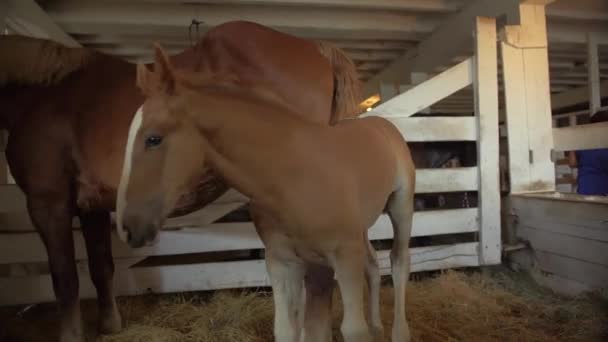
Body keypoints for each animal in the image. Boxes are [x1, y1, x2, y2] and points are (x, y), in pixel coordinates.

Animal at [0, 21, 360, 342]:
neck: (45, 94)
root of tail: (316, 48)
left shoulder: (48, 203)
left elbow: (65, 279)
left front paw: (71, 336)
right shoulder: (92, 207)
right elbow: (101, 267)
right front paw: (109, 327)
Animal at [117, 45, 416, 342]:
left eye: (153, 139)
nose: (127, 228)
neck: (292, 177)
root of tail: (382, 123)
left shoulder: (344, 256)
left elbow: (353, 329)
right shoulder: (283, 263)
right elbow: (285, 330)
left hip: (400, 206)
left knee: (399, 261)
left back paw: (399, 332)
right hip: (360, 230)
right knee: (373, 264)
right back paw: (378, 327)